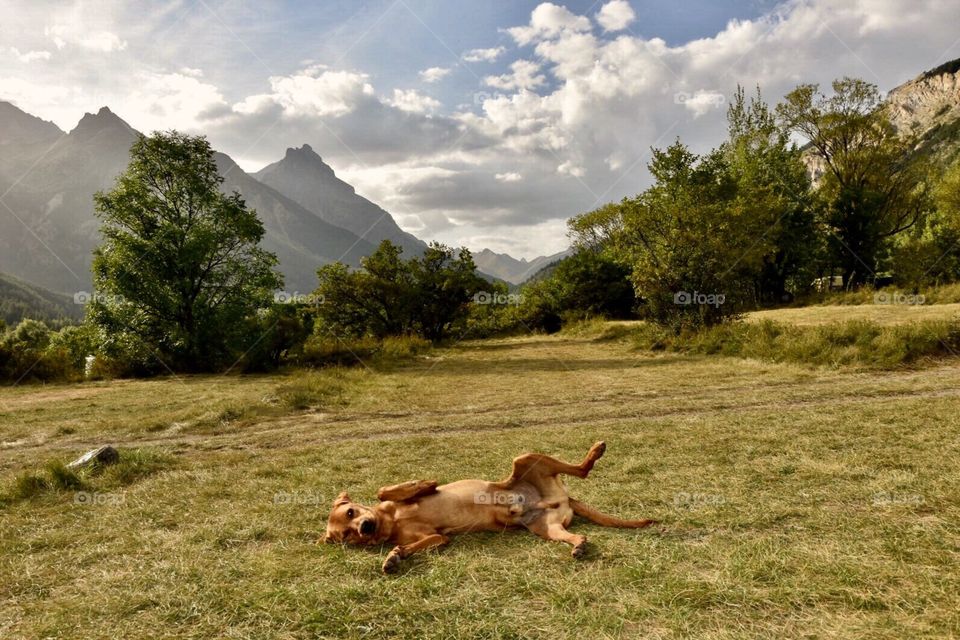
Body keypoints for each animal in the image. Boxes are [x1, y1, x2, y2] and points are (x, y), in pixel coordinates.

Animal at [326, 440, 656, 576]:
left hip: (525, 458)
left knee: (582, 470)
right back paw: (579, 545)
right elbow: (410, 546)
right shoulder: (438, 537)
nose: (364, 528)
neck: (390, 520)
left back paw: (595, 451)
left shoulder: (395, 503)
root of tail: (561, 498)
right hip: (547, 528)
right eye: (346, 536)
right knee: (572, 533)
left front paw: (422, 483)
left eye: (351, 513)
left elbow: (385, 489)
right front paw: (393, 557)